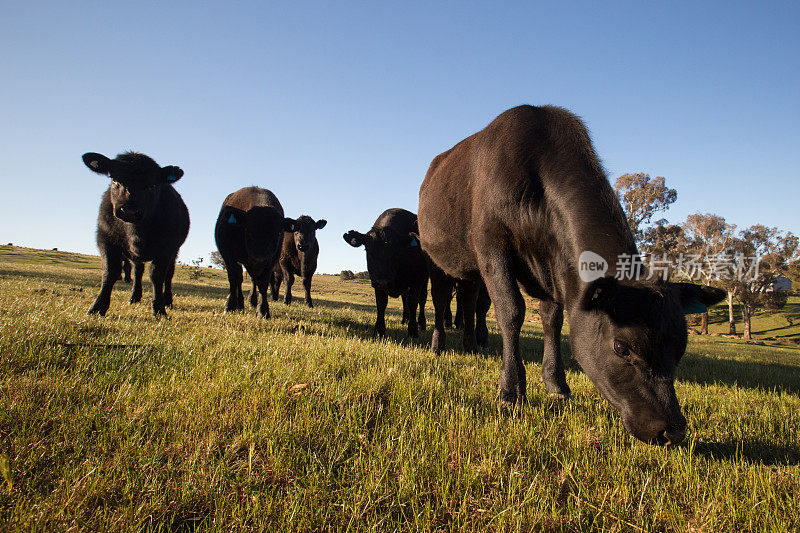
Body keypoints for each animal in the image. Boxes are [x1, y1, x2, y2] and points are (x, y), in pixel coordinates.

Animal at [82, 150, 189, 316]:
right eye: (114, 179)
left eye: (152, 185)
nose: (129, 211)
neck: (135, 232)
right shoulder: (105, 238)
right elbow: (110, 272)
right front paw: (98, 307)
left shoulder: (167, 247)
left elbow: (157, 275)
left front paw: (159, 309)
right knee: (138, 271)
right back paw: (135, 297)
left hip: (174, 252)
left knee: (168, 274)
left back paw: (167, 299)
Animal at [212, 187, 290, 318]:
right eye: (248, 230)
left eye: (277, 234)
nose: (259, 260)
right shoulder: (228, 257)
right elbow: (233, 279)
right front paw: (230, 306)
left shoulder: (270, 262)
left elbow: (263, 284)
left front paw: (263, 311)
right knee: (239, 279)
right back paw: (238, 303)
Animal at [346, 208, 432, 336]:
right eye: (368, 250)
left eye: (396, 252)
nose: (383, 282)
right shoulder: (376, 281)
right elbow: (381, 303)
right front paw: (379, 330)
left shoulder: (417, 279)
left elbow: (413, 301)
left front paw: (413, 330)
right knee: (404, 298)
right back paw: (405, 319)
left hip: (425, 278)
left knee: (422, 299)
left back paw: (421, 323)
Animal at [418, 105, 724, 444]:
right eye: (621, 347)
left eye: (681, 348)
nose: (673, 429)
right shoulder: (491, 245)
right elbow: (511, 312)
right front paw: (510, 393)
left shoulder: (554, 269)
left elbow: (552, 320)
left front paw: (557, 385)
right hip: (436, 260)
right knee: (442, 300)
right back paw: (438, 346)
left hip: (470, 272)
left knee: (470, 301)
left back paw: (471, 346)